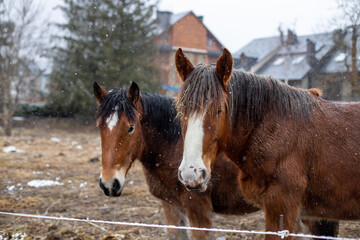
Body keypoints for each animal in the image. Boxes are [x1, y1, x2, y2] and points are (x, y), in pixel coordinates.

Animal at [91, 81, 258, 239]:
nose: (109, 184)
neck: (176, 146)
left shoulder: (198, 208)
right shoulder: (170, 204)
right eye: (99, 126)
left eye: (131, 128)